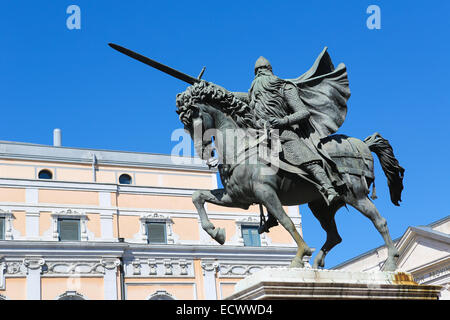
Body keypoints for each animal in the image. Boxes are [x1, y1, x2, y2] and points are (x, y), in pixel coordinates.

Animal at [175, 81, 404, 272]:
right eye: (185, 125)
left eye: (194, 117)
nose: (204, 153)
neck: (242, 148)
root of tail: (363, 144)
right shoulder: (237, 198)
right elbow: (197, 196)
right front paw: (216, 233)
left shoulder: (266, 192)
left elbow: (286, 221)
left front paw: (301, 254)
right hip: (320, 206)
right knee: (334, 236)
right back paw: (318, 263)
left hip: (355, 195)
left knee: (380, 222)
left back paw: (391, 264)